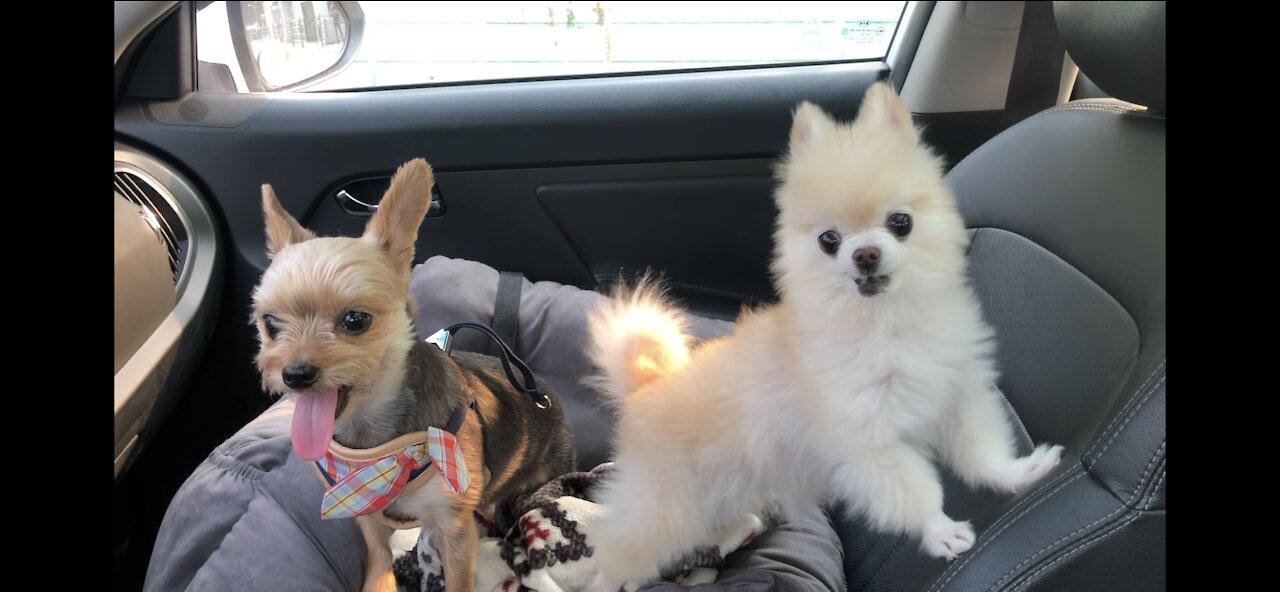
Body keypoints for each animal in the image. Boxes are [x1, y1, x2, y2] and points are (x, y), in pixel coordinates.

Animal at [249, 158, 576, 592]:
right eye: (269, 323)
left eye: (355, 320)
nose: (295, 373)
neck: (375, 446)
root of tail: (544, 394)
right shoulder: (362, 508)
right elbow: (378, 556)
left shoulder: (453, 525)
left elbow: (458, 579)